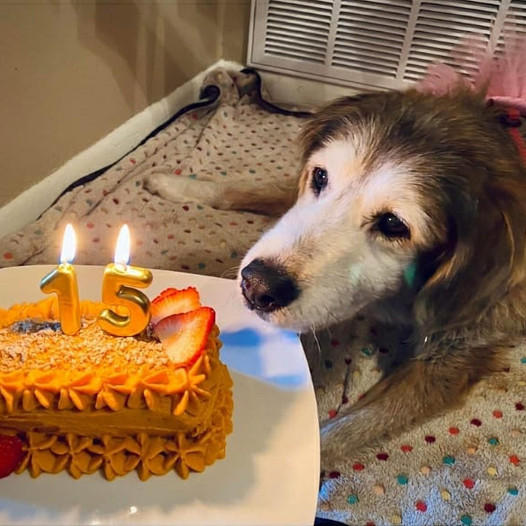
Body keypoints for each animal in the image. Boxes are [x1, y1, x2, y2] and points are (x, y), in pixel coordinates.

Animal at [146, 45, 526, 466]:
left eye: (393, 224)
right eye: (320, 177)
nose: (256, 286)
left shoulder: (452, 354)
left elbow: (345, 429)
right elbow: (256, 190)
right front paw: (177, 184)